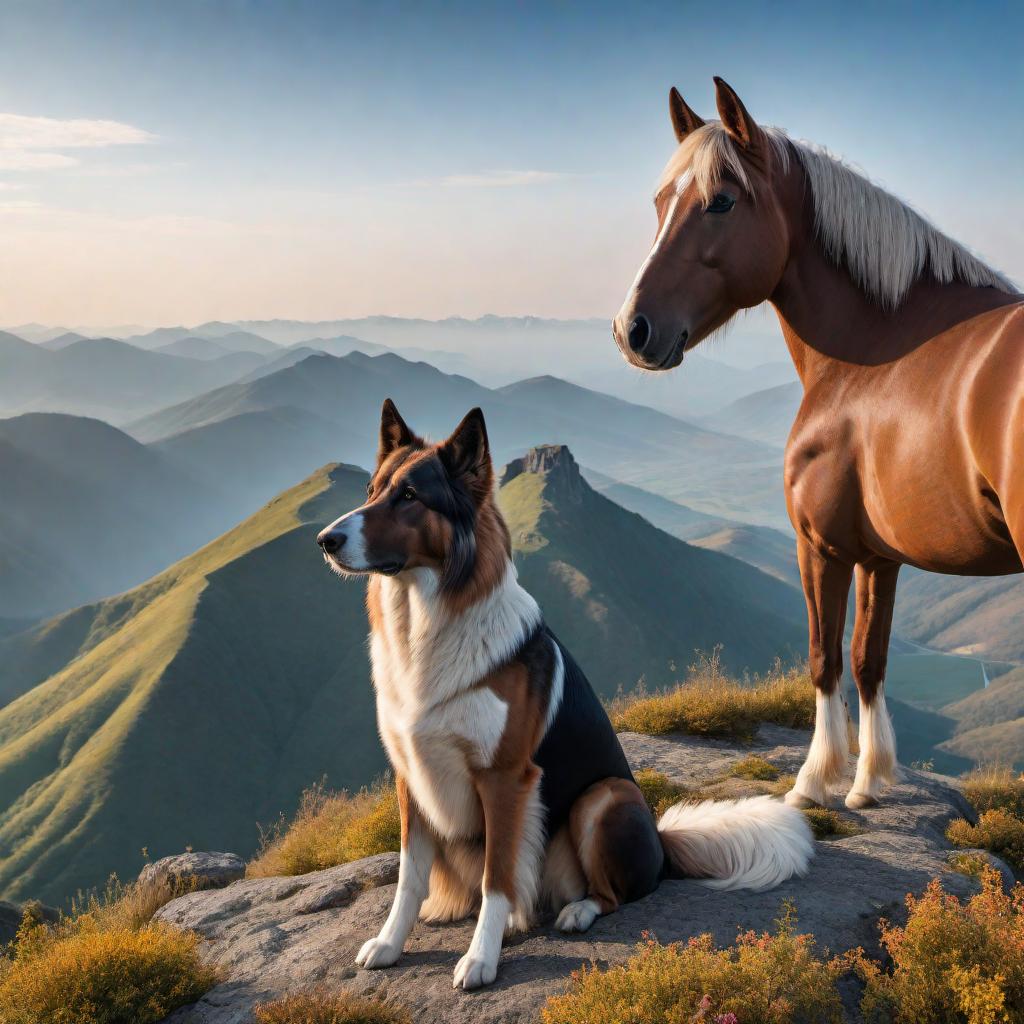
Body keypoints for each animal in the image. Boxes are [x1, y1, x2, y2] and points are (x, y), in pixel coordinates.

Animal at [315, 401, 811, 991]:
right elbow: (410, 878)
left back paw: (577, 911)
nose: (325, 540)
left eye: (410, 495)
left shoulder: (506, 778)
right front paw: (391, 943)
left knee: (614, 894)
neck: (425, 621)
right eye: (371, 490)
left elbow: (497, 879)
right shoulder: (411, 776)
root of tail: (662, 847)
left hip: (604, 796)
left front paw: (480, 958)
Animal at [610, 77, 1019, 806]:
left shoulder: (819, 545)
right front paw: (869, 781)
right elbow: (867, 659)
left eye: (721, 200)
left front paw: (812, 783)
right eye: (660, 202)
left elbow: (824, 658)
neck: (876, 350)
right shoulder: (879, 556)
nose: (633, 330)